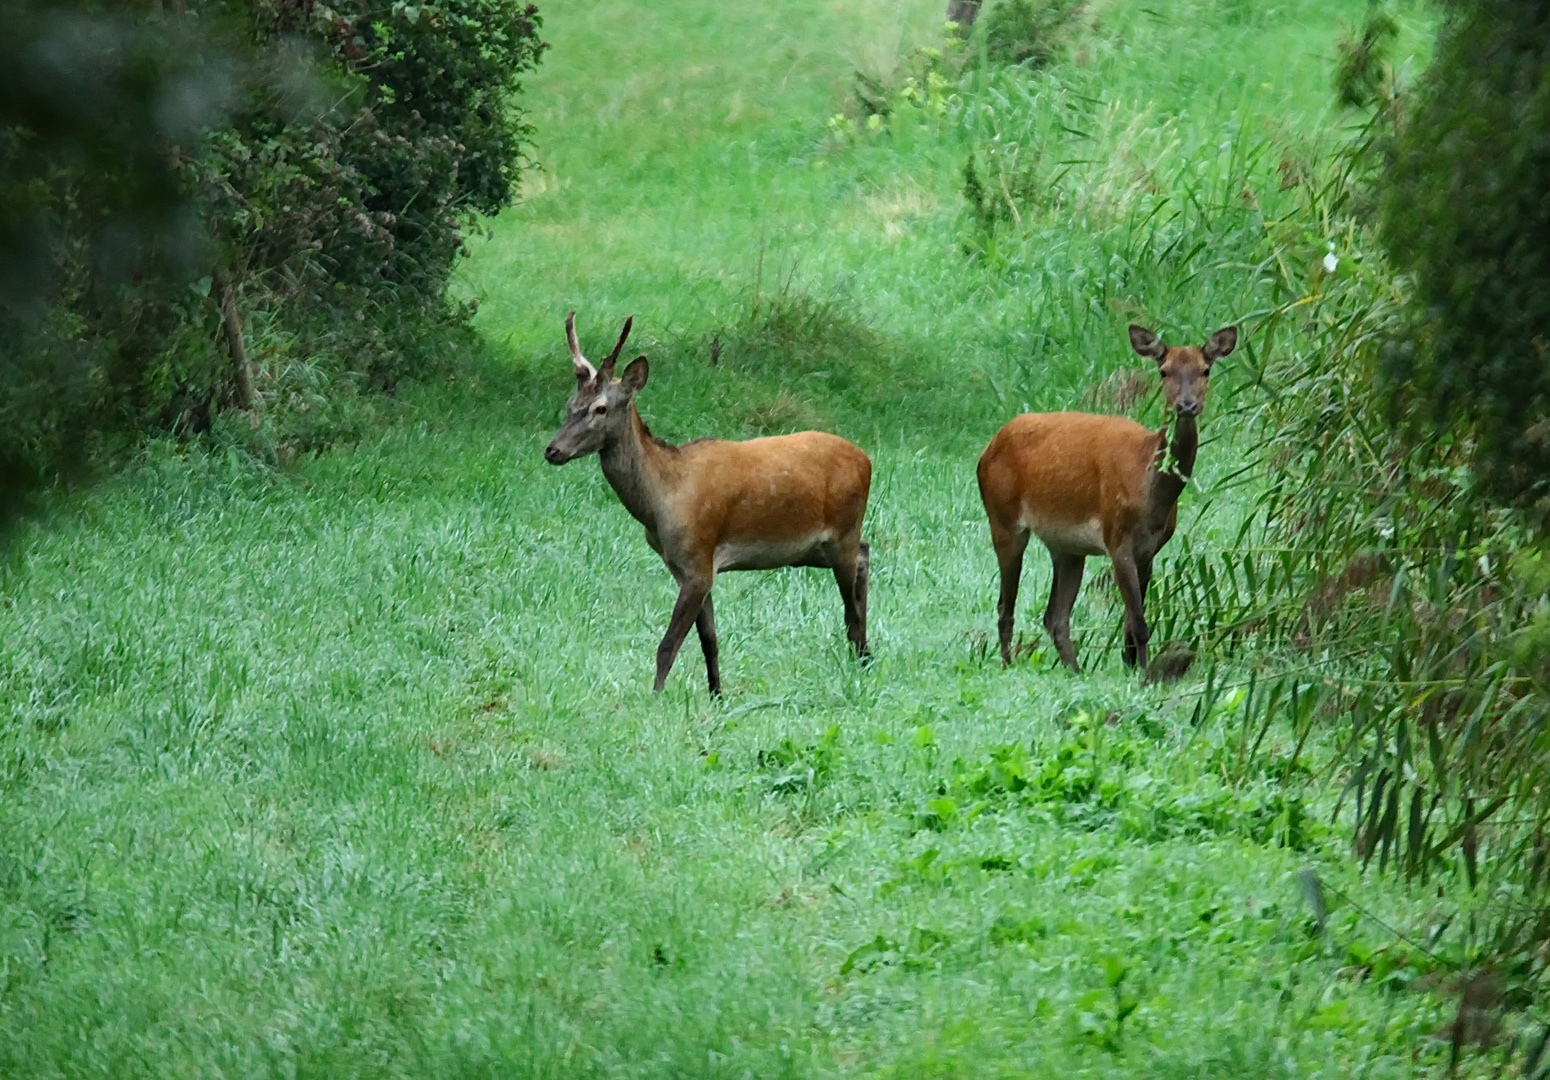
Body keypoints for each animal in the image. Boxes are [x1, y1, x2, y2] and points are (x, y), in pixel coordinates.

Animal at [545, 309, 874, 700]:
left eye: (600, 408)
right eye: (569, 406)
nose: (553, 450)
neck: (661, 502)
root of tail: (866, 460)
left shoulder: (698, 559)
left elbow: (668, 644)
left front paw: (655, 699)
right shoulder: (685, 566)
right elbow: (709, 640)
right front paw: (717, 695)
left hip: (843, 530)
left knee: (851, 603)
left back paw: (859, 661)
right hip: (816, 549)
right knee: (865, 556)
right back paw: (866, 657)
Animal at [979, 320, 1233, 675]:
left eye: (1205, 370)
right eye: (1164, 371)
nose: (1185, 405)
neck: (1148, 488)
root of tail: (986, 450)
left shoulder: (1150, 548)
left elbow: (1130, 623)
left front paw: (1132, 667)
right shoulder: (1117, 536)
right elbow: (1139, 622)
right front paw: (1143, 674)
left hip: (1066, 546)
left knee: (1055, 617)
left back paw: (1074, 670)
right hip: (1002, 517)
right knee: (1006, 606)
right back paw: (1008, 664)